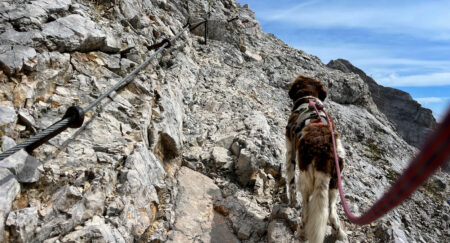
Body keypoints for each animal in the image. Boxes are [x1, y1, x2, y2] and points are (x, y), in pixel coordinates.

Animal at [284, 75, 348, 242]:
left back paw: (300, 233)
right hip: (334, 185)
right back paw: (340, 234)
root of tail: (324, 156)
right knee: (331, 213)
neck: (308, 99)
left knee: (306, 212)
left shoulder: (290, 151)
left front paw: (292, 202)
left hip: (305, 181)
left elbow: (291, 183)